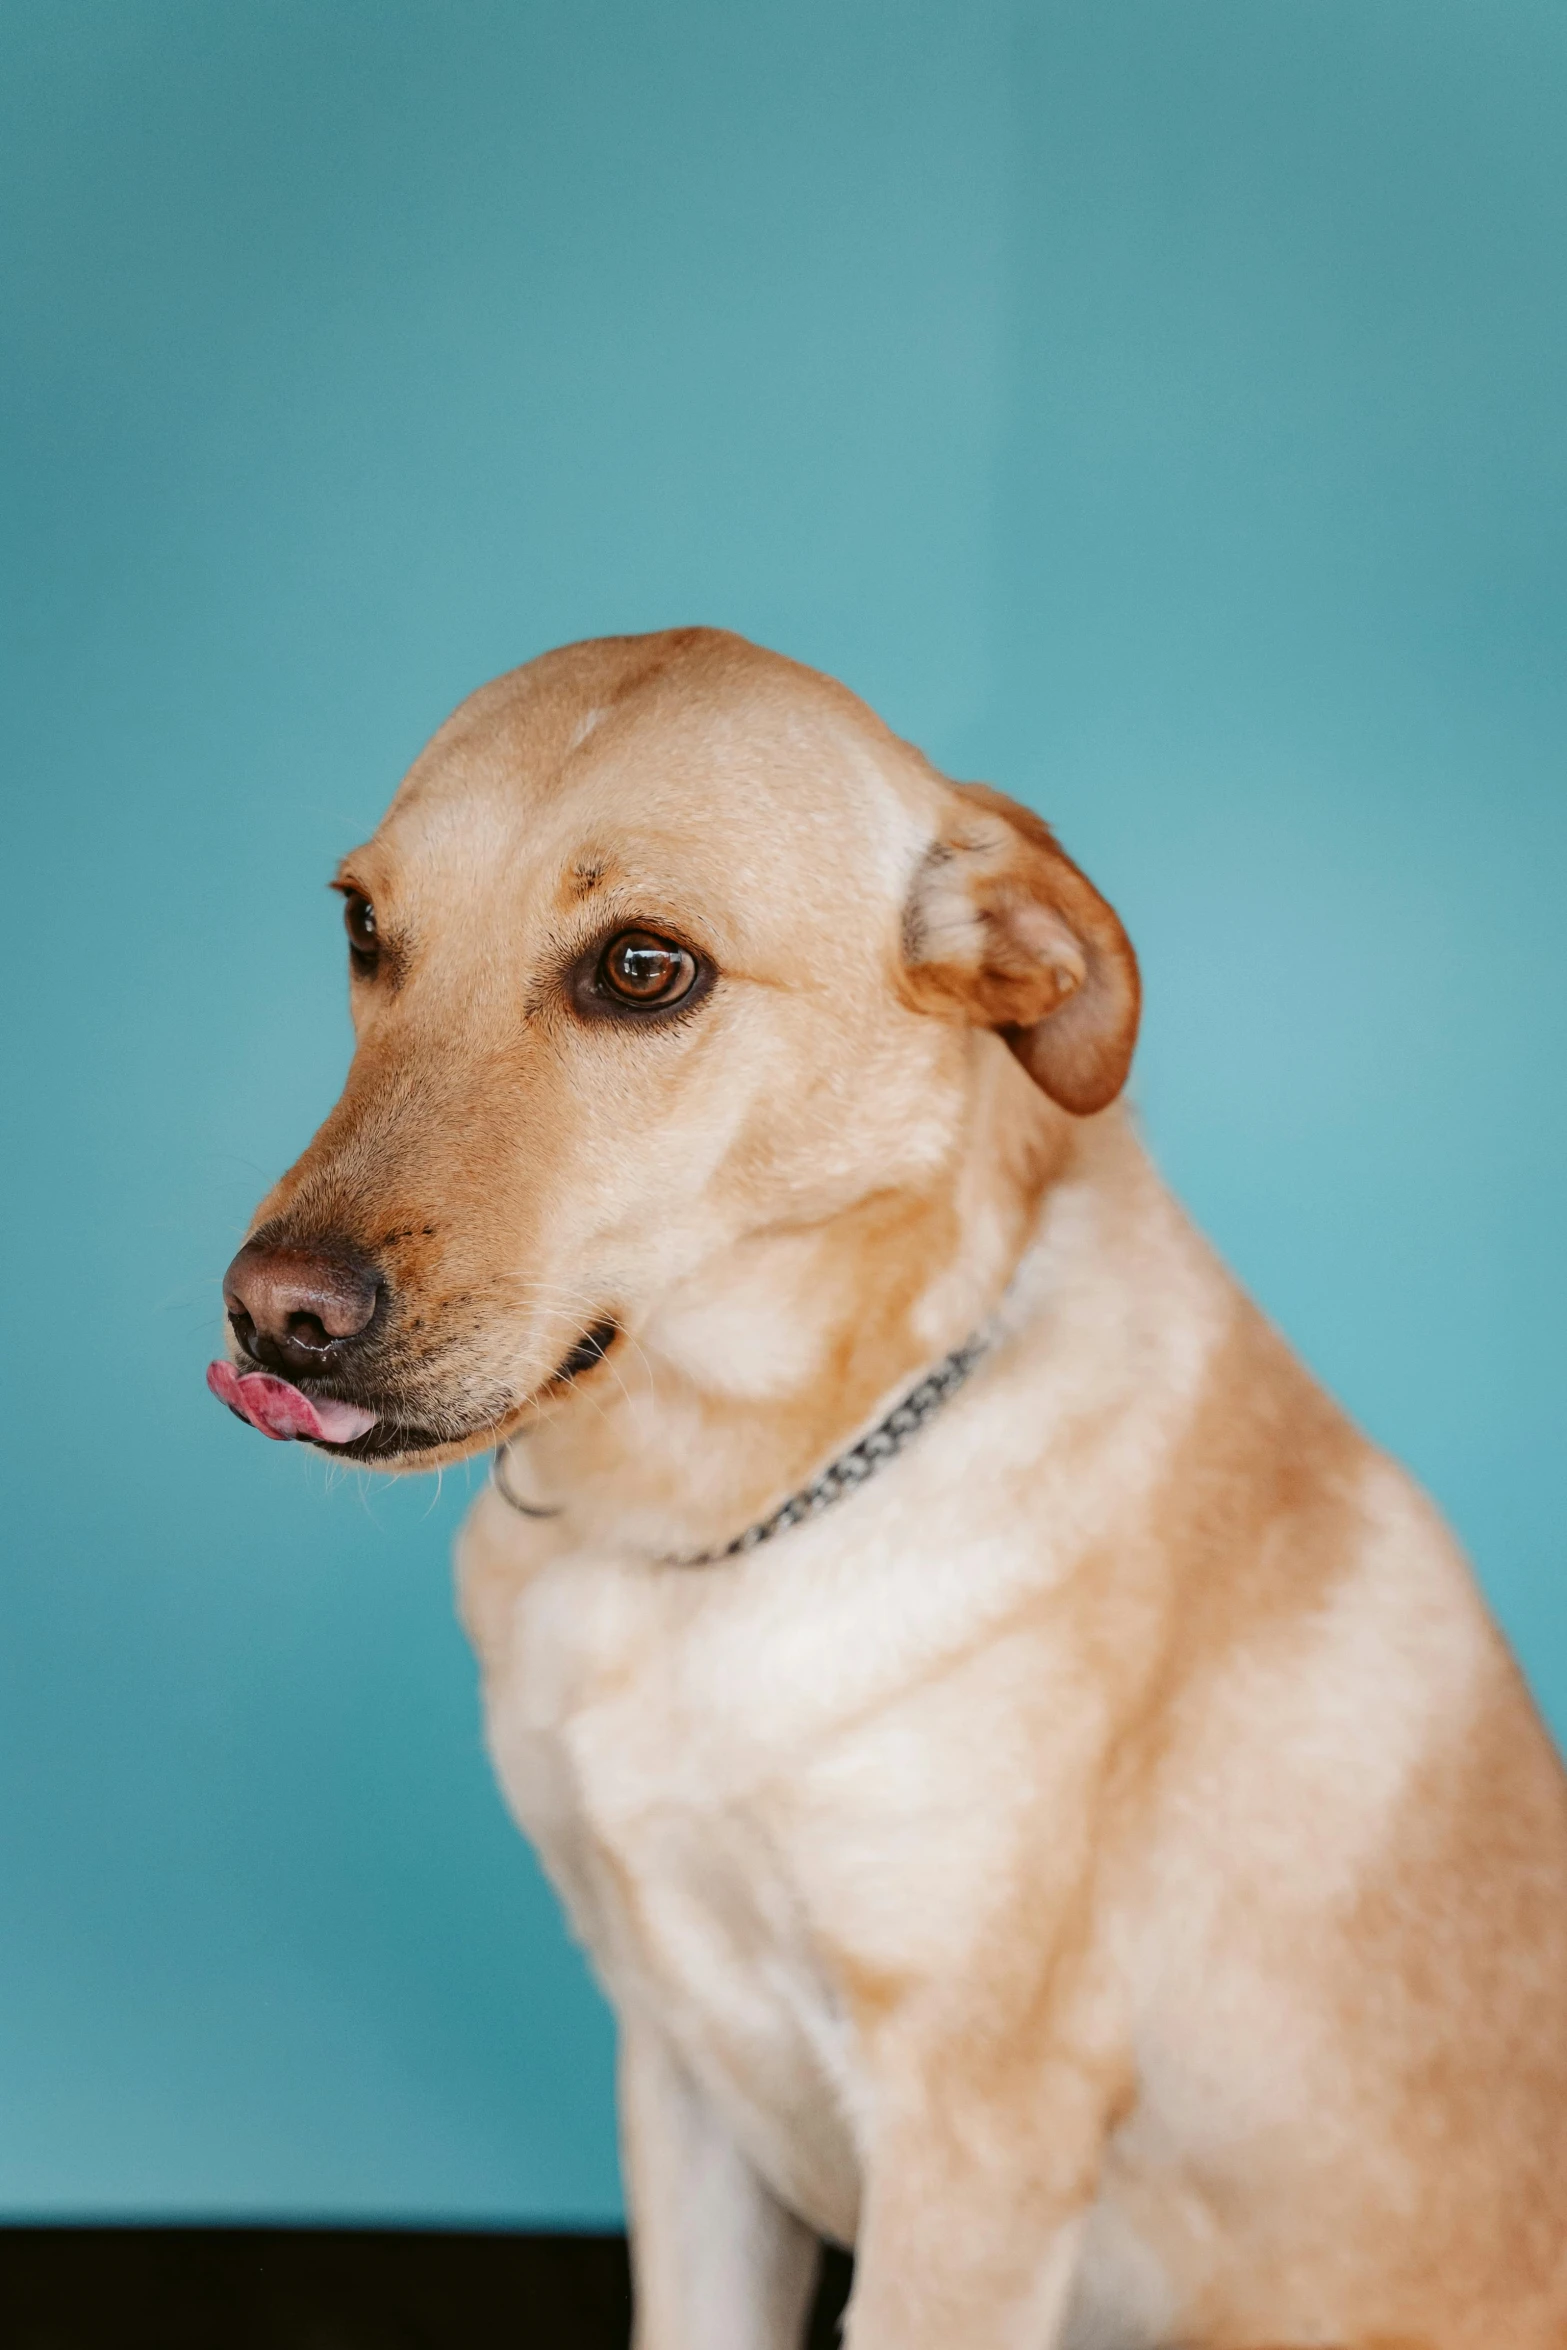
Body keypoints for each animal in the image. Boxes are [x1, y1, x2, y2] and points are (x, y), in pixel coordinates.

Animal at [217, 629, 1567, 2350]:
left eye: (641, 968)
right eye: (362, 928)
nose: (274, 1317)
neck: (703, 1516)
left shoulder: (972, 2142)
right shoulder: (682, 2078)